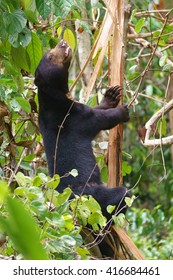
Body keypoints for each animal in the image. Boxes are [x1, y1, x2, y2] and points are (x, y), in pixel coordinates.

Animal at [34, 40, 130, 219]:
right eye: (50, 56)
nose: (63, 42)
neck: (52, 98)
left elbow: (97, 109)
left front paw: (111, 95)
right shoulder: (74, 118)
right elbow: (100, 119)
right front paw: (123, 111)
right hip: (92, 196)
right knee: (121, 195)